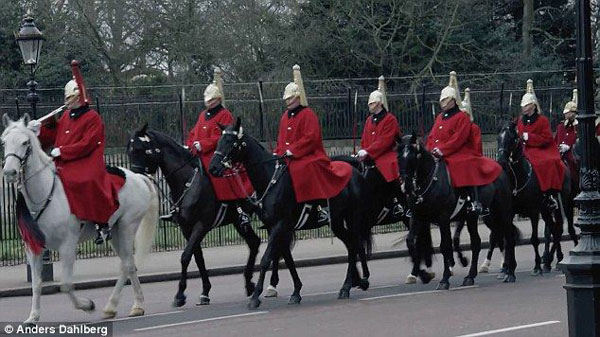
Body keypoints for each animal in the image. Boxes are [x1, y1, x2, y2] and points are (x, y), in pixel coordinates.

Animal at [1, 114, 159, 324]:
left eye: (25, 142)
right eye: (4, 142)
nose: (9, 172)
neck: (44, 193)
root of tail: (137, 176)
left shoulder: (67, 245)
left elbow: (66, 285)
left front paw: (87, 305)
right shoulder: (33, 247)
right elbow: (36, 283)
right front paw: (33, 317)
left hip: (127, 226)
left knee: (126, 265)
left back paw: (114, 306)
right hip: (116, 232)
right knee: (129, 264)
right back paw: (134, 305)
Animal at [127, 124, 262, 306]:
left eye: (141, 149)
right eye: (129, 150)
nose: (135, 177)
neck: (188, 182)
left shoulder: (201, 225)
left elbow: (185, 257)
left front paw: (180, 294)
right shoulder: (186, 228)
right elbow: (197, 257)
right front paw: (205, 291)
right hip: (238, 221)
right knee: (254, 243)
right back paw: (249, 284)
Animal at [210, 118, 370, 308]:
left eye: (232, 142)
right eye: (219, 142)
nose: (213, 168)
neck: (270, 179)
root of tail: (356, 172)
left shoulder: (280, 225)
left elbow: (266, 259)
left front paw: (256, 296)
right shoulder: (275, 227)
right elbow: (287, 258)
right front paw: (296, 291)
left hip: (352, 217)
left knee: (355, 244)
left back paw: (349, 286)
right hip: (337, 221)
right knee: (351, 244)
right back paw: (354, 282)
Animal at [396, 133, 516, 288]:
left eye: (414, 156)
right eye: (398, 156)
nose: (407, 186)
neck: (431, 180)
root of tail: (500, 167)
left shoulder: (443, 218)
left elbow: (445, 246)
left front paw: (444, 279)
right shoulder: (417, 217)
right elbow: (411, 242)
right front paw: (422, 274)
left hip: (502, 212)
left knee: (509, 237)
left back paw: (510, 273)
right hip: (474, 217)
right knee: (476, 242)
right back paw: (470, 276)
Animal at [494, 120, 576, 272]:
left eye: (511, 139)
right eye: (498, 138)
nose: (501, 161)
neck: (519, 177)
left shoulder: (533, 211)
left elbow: (534, 239)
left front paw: (537, 266)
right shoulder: (511, 212)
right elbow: (510, 239)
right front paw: (508, 267)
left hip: (561, 203)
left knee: (558, 228)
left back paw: (557, 259)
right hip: (545, 210)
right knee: (554, 229)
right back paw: (551, 260)